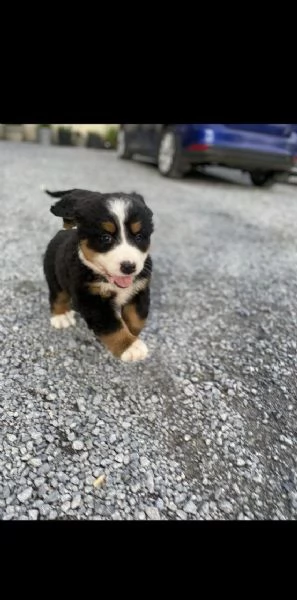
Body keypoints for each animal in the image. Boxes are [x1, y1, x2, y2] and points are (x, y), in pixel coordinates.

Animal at [43, 190, 154, 364]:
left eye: (139, 236)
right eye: (105, 238)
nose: (129, 267)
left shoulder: (140, 289)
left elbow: (136, 318)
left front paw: (132, 334)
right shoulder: (91, 299)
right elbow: (111, 326)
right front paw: (130, 346)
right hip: (54, 275)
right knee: (57, 296)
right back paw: (61, 317)